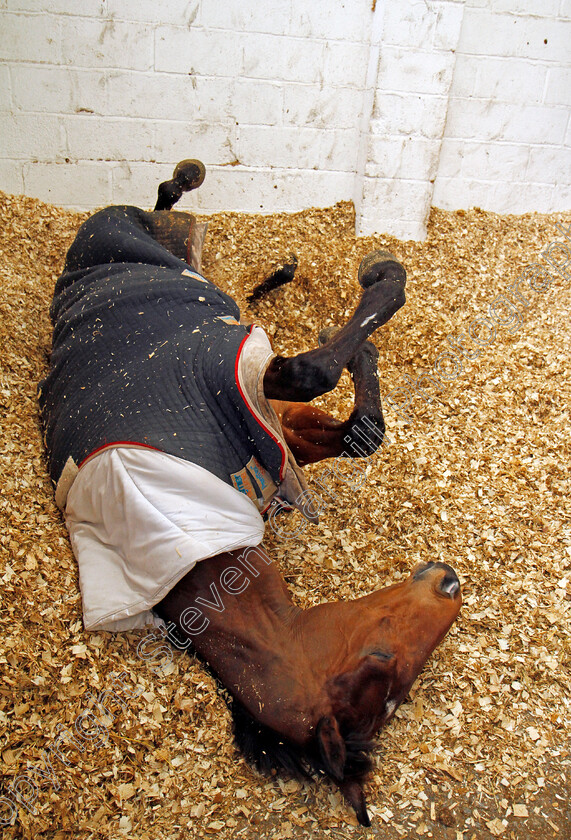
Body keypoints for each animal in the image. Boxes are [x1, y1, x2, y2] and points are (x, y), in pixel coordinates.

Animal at [39, 161, 460, 824]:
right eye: (380, 663)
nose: (450, 583)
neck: (197, 549)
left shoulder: (277, 429)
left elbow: (361, 431)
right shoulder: (249, 382)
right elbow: (319, 370)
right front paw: (380, 283)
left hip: (176, 254)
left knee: (180, 225)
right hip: (143, 240)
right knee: (168, 213)